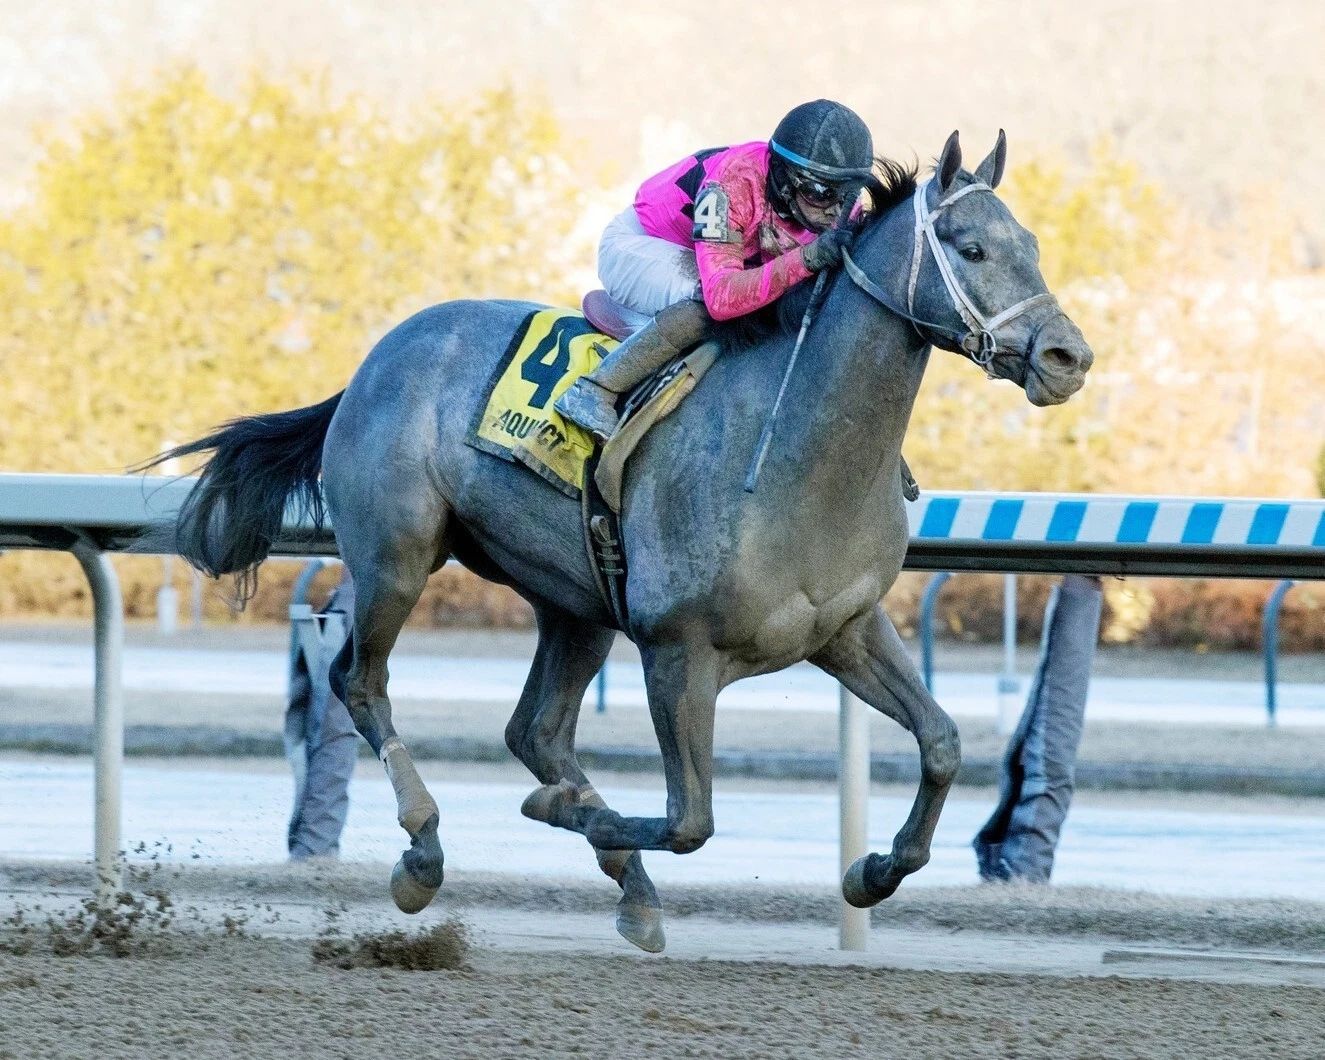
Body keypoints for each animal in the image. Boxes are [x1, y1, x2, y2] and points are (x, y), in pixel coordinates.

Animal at [151, 131, 1093, 953]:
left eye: (1033, 244)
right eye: (970, 249)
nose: (1066, 356)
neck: (796, 451)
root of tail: (375, 359)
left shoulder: (844, 629)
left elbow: (941, 743)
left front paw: (872, 871)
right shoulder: (678, 651)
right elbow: (690, 820)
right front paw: (566, 815)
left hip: (572, 600)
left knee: (535, 731)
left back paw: (627, 887)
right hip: (397, 556)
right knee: (361, 682)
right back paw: (425, 851)